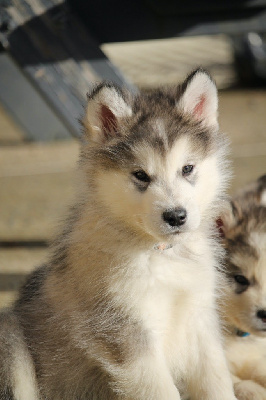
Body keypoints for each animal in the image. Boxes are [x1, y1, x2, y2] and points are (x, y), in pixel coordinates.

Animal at [0, 69, 237, 400]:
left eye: (188, 168)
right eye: (140, 175)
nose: (176, 216)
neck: (162, 256)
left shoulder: (200, 317)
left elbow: (216, 380)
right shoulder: (123, 331)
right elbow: (161, 390)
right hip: (9, 335)